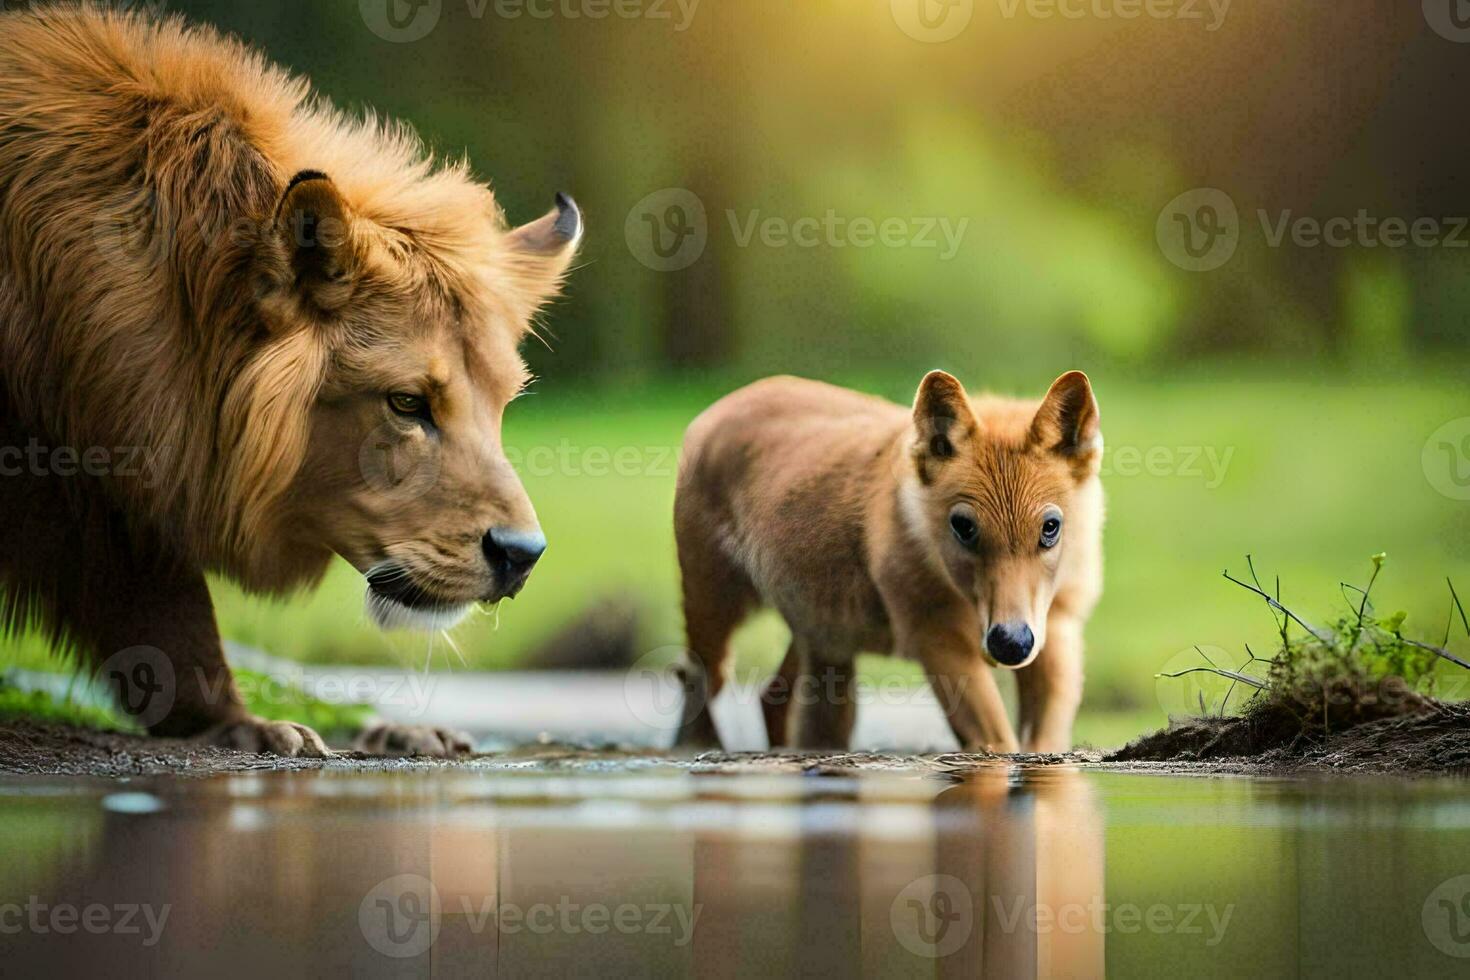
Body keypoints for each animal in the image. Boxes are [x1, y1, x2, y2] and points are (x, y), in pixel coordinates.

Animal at [0, 5, 582, 758]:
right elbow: (170, 606)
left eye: (502, 405)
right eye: (407, 403)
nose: (522, 555)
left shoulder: (101, 487)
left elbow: (162, 617)